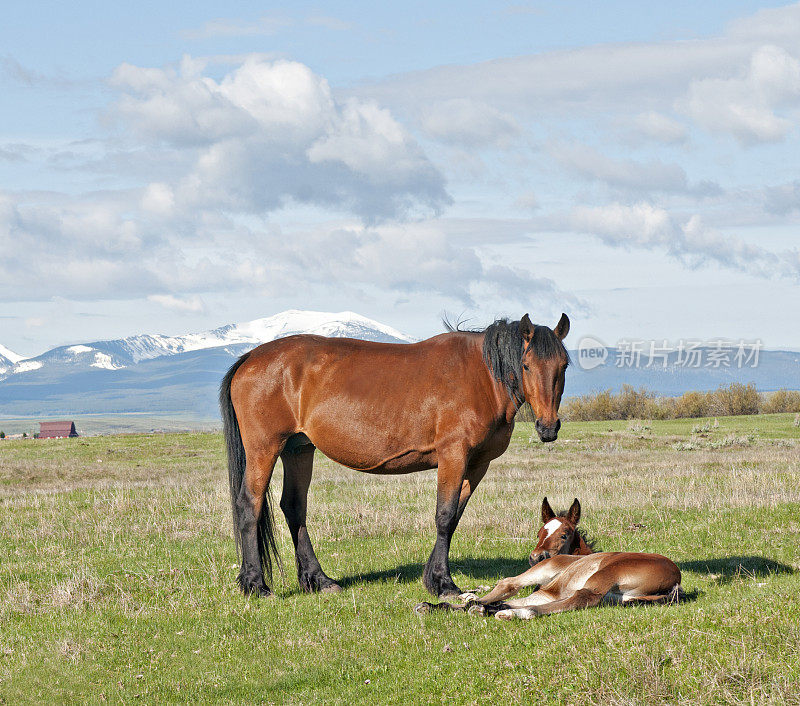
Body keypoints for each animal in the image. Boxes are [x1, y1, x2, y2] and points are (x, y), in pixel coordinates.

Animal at [219, 312, 568, 592]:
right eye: (526, 365)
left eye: (563, 366)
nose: (548, 427)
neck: (482, 376)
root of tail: (251, 357)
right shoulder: (453, 456)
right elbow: (444, 516)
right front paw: (443, 583)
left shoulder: (477, 464)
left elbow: (454, 517)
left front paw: (431, 575)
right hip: (265, 448)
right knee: (249, 504)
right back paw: (255, 584)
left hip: (299, 449)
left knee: (294, 508)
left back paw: (319, 580)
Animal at [416, 498, 684, 620]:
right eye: (539, 533)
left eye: (564, 534)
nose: (536, 556)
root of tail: (676, 579)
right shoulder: (547, 592)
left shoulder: (549, 574)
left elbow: (507, 585)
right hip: (618, 598)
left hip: (605, 574)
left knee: (580, 597)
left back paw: (508, 611)